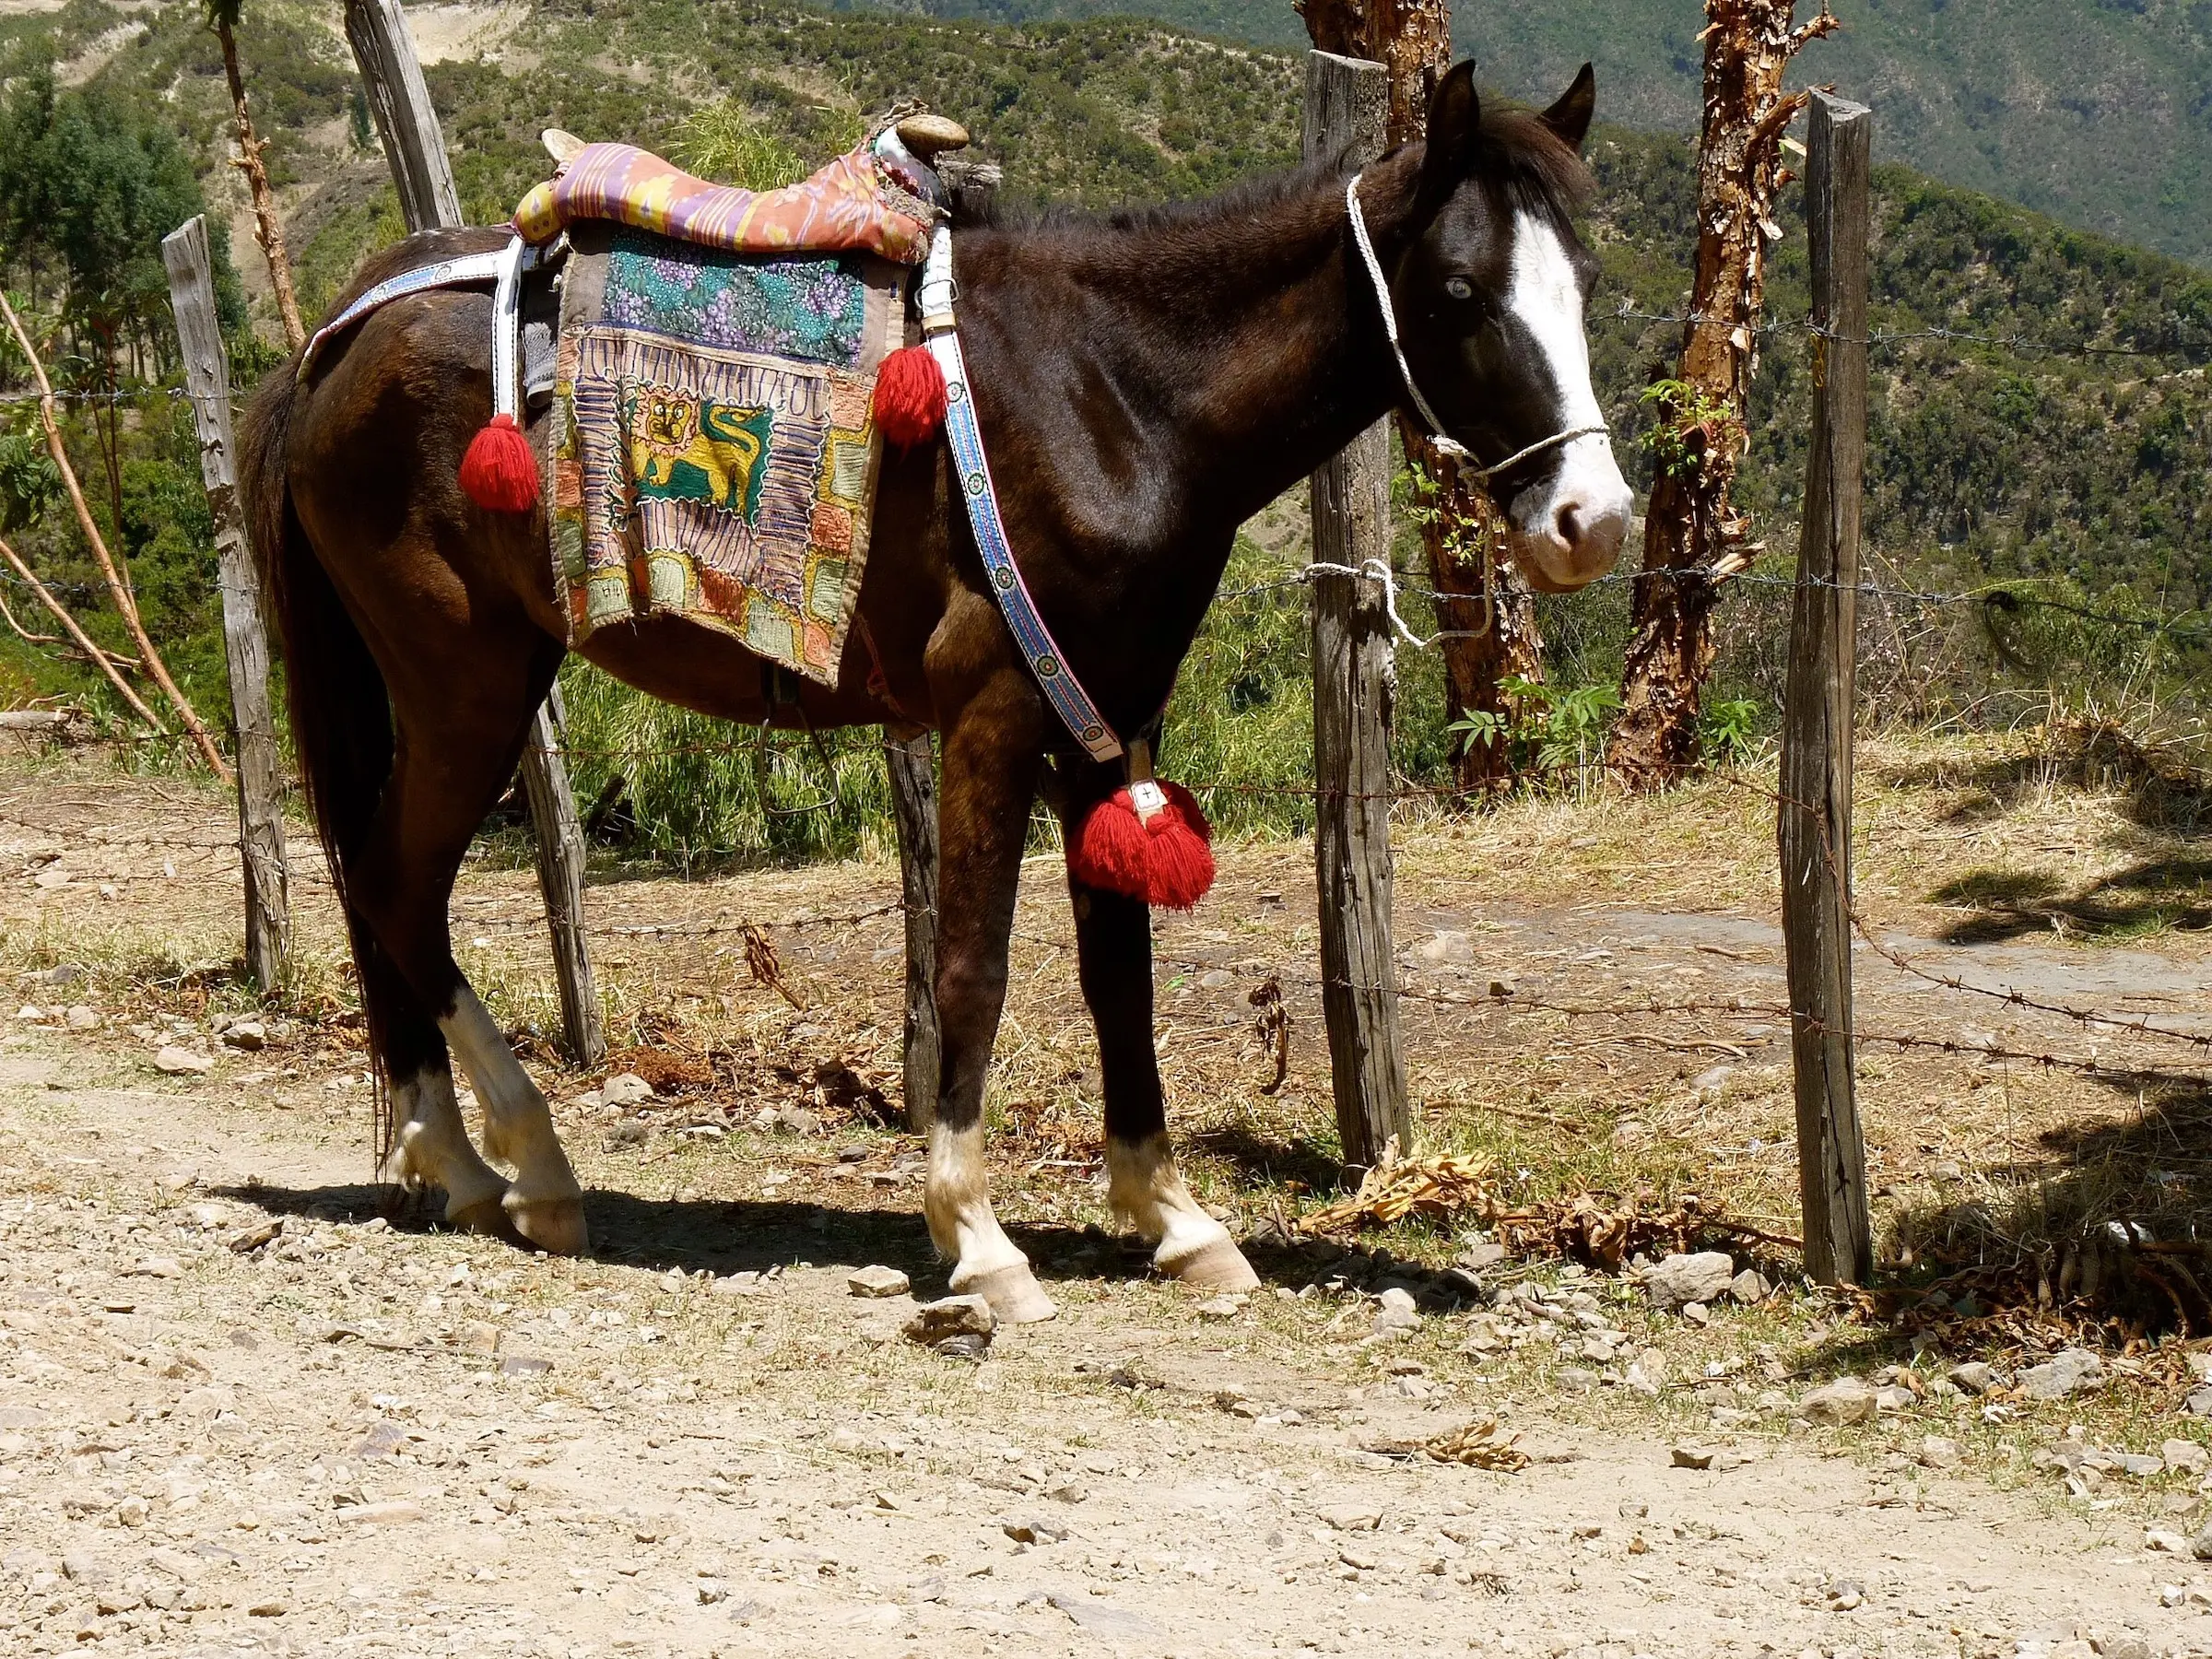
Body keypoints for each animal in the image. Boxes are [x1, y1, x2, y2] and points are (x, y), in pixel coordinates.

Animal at [241, 61, 1637, 1327]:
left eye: (1584, 288)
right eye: (1459, 292)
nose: (1595, 523)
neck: (1113, 394)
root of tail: (338, 335)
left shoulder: (1108, 729)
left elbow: (1118, 975)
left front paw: (1175, 1219)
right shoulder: (996, 719)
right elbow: (972, 966)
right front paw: (977, 1236)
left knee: (383, 889)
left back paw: (459, 1160)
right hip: (465, 682)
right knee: (397, 888)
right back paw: (520, 1166)